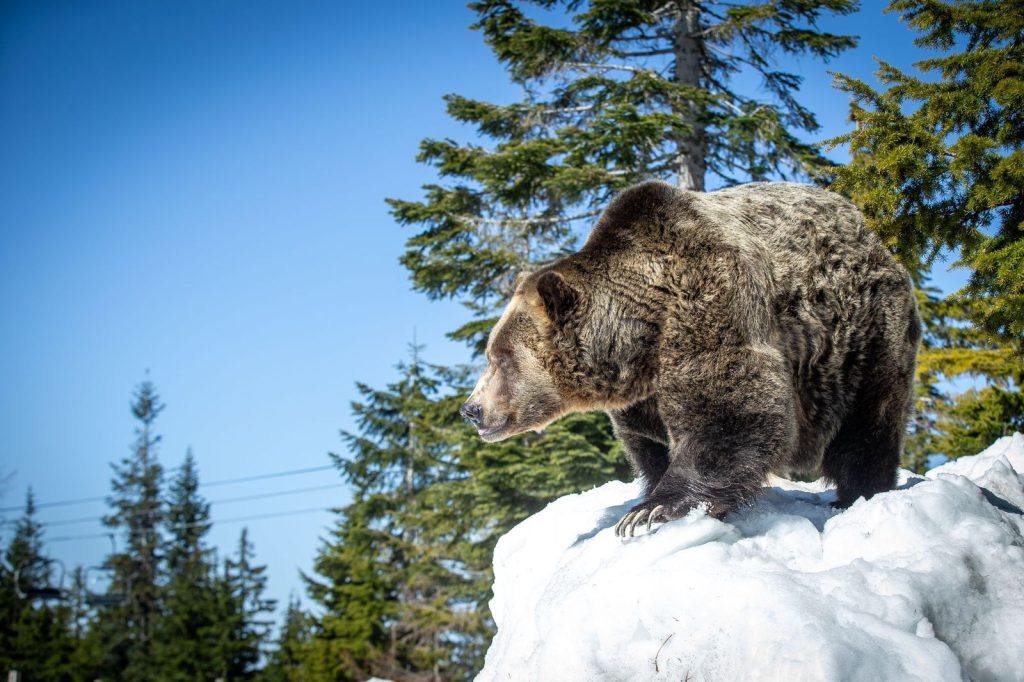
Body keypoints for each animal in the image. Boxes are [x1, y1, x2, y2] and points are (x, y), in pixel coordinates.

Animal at [460, 180, 925, 536]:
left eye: (499, 358)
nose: (471, 409)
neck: (642, 340)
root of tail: (874, 237)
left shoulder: (710, 300)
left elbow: (728, 411)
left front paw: (651, 511)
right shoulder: (643, 394)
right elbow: (650, 443)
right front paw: (649, 495)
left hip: (862, 334)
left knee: (868, 420)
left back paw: (857, 494)